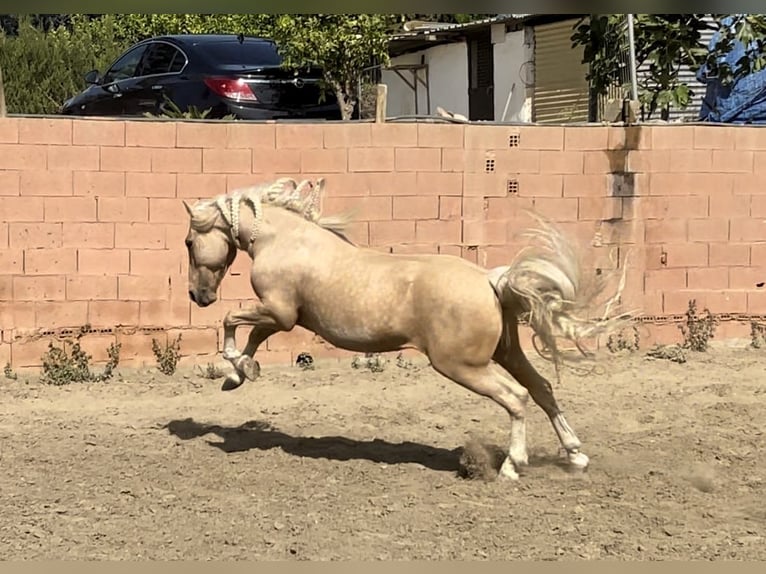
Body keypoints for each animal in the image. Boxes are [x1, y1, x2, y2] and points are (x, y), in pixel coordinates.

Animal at [183, 179, 632, 482]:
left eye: (189, 242)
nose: (197, 295)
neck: (285, 241)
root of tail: (491, 280)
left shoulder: (279, 313)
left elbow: (232, 322)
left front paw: (232, 365)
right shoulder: (279, 316)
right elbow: (252, 338)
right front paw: (239, 375)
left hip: (461, 365)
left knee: (517, 396)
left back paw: (510, 466)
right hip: (506, 353)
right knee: (542, 389)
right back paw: (575, 455)